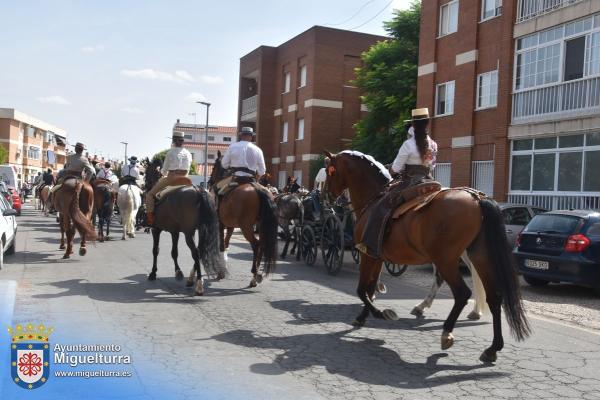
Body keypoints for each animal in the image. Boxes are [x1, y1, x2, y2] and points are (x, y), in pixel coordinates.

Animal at [210, 154, 278, 288]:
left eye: (214, 166)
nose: (209, 181)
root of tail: (257, 188)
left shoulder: (220, 224)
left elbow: (222, 246)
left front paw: (221, 272)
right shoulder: (230, 226)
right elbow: (226, 243)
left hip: (246, 227)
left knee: (256, 245)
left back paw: (254, 273)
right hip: (261, 226)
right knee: (262, 245)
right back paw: (255, 277)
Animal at [324, 150, 528, 362]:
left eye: (330, 171)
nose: (327, 197)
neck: (374, 197)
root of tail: (476, 198)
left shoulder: (368, 255)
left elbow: (362, 289)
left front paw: (380, 313)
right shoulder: (377, 257)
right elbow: (370, 289)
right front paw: (363, 316)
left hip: (446, 260)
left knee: (462, 293)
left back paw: (447, 332)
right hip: (480, 257)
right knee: (494, 297)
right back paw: (492, 347)